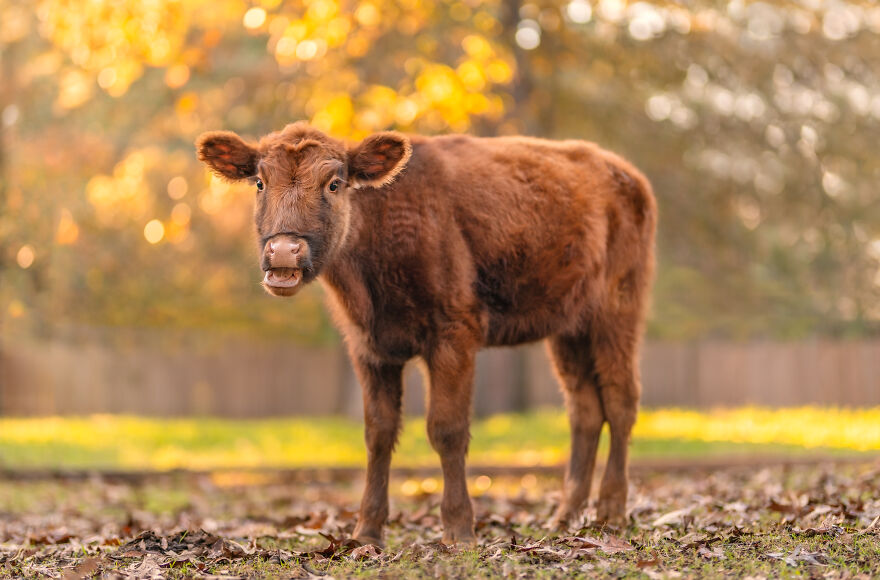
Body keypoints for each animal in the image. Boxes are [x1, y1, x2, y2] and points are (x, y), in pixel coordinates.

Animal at [196, 122, 656, 544]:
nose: (284, 252)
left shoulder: (454, 334)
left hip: (618, 309)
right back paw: (565, 517)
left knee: (621, 401)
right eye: (260, 182)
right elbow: (379, 433)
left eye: (334, 183)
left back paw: (611, 511)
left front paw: (459, 529)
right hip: (568, 329)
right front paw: (367, 531)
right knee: (584, 408)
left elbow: (446, 429)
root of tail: (626, 173)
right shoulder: (369, 348)